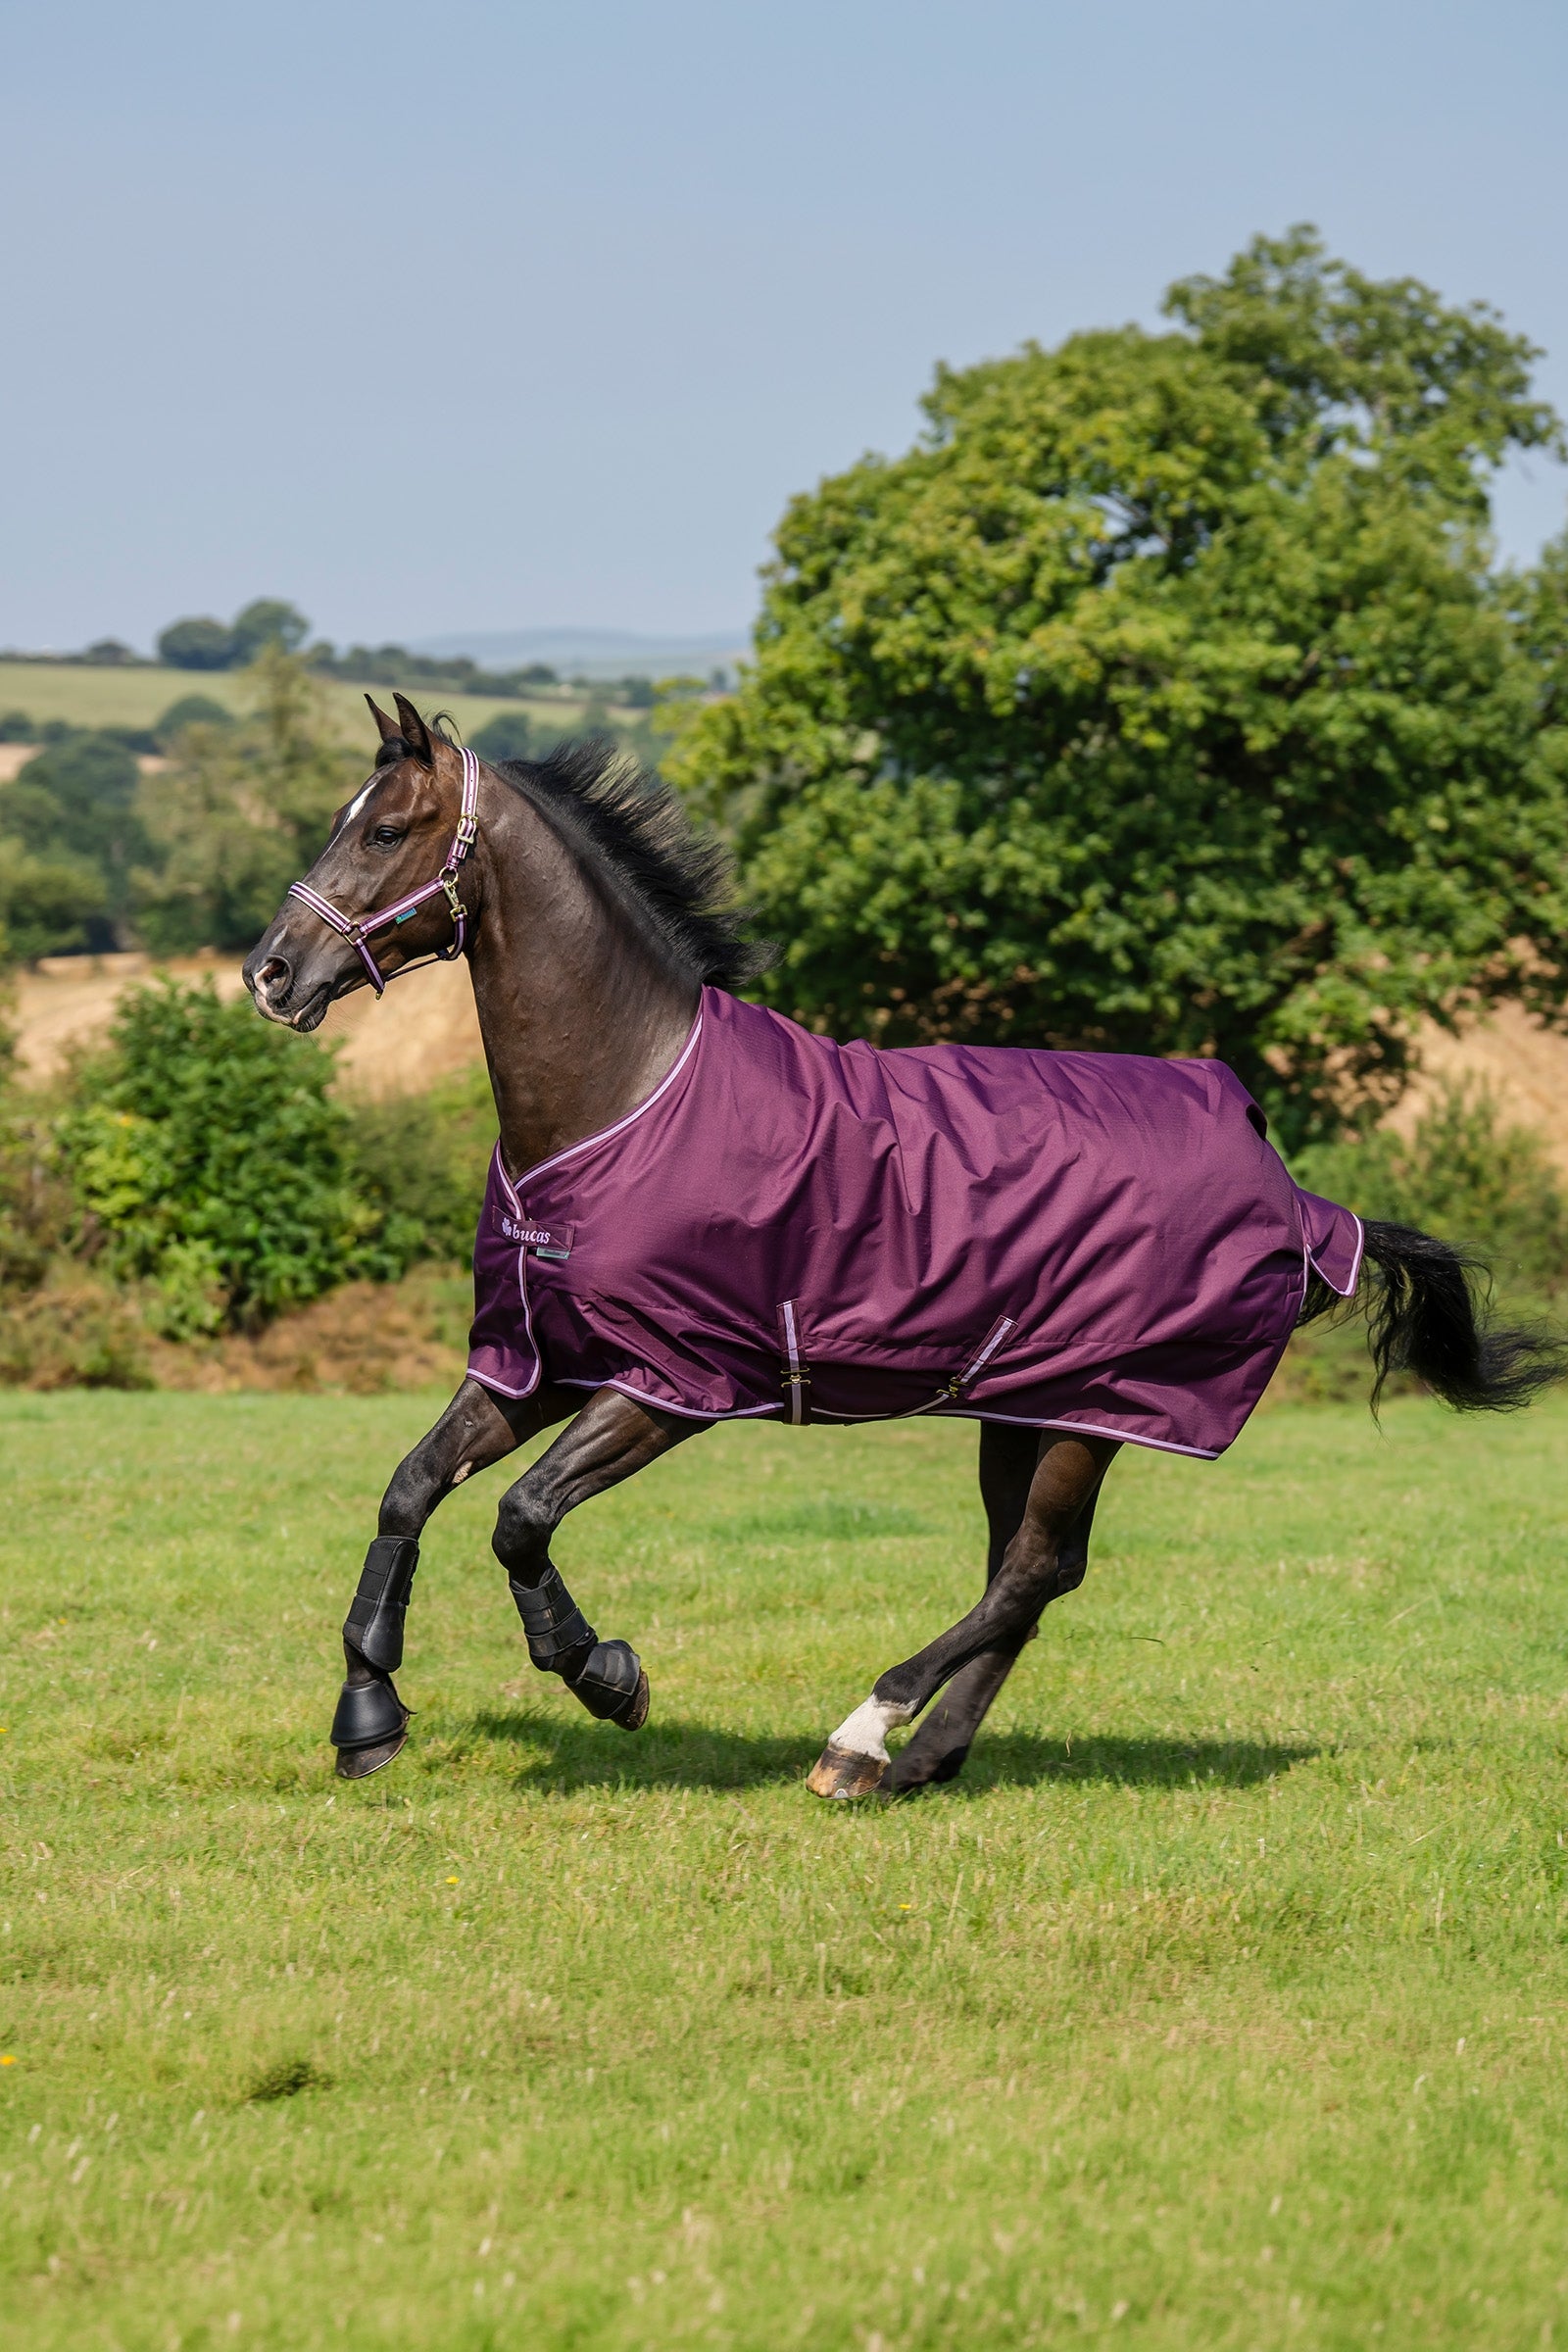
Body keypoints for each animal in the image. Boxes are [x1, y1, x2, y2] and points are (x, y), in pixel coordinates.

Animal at [243, 693, 1567, 1797]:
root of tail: (1300, 1204)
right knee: (1027, 1574)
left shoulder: (670, 1384)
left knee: (1027, 1574)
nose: (270, 973)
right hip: (1026, 1407)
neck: (623, 1095)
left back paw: (861, 1737)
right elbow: (410, 1488)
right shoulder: (537, 1362)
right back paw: (920, 1761)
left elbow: (520, 1517)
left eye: (387, 829)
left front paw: (606, 1677)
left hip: (1101, 1408)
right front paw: (368, 1718)